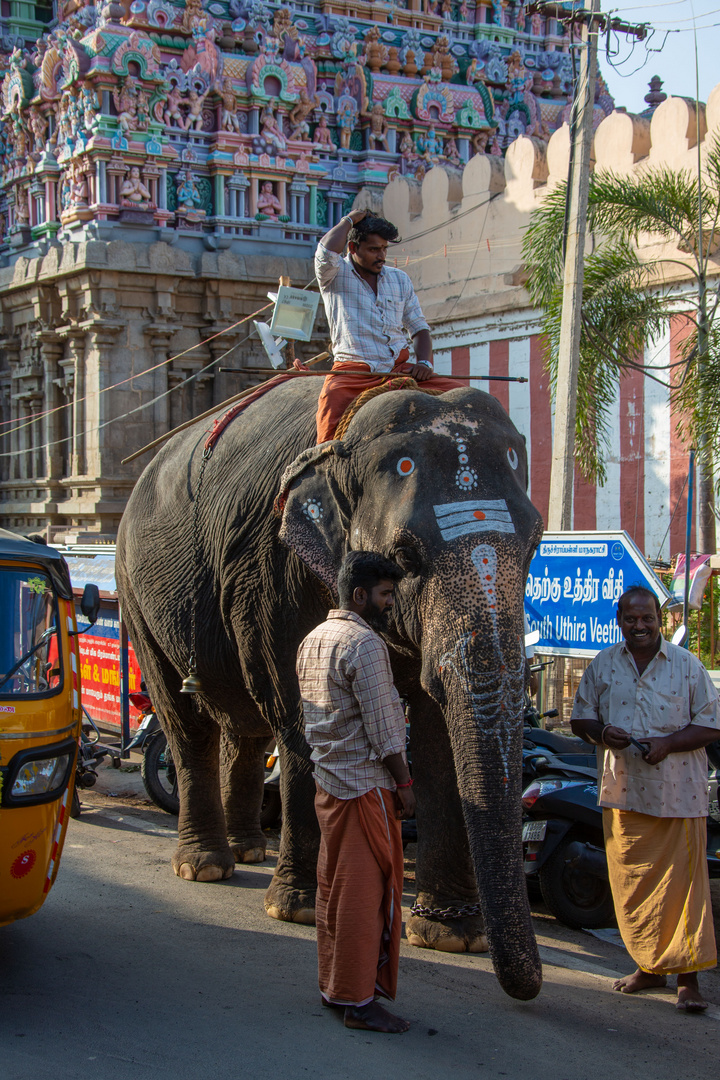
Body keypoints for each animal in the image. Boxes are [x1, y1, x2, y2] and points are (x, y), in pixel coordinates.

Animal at [117, 382, 546, 1002]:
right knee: (186, 722)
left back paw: (247, 849)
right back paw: (205, 867)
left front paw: (451, 937)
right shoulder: (270, 568)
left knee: (244, 726)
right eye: (404, 556)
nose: (526, 989)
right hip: (135, 594)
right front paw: (293, 910)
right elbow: (299, 710)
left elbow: (435, 730)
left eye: (536, 543)